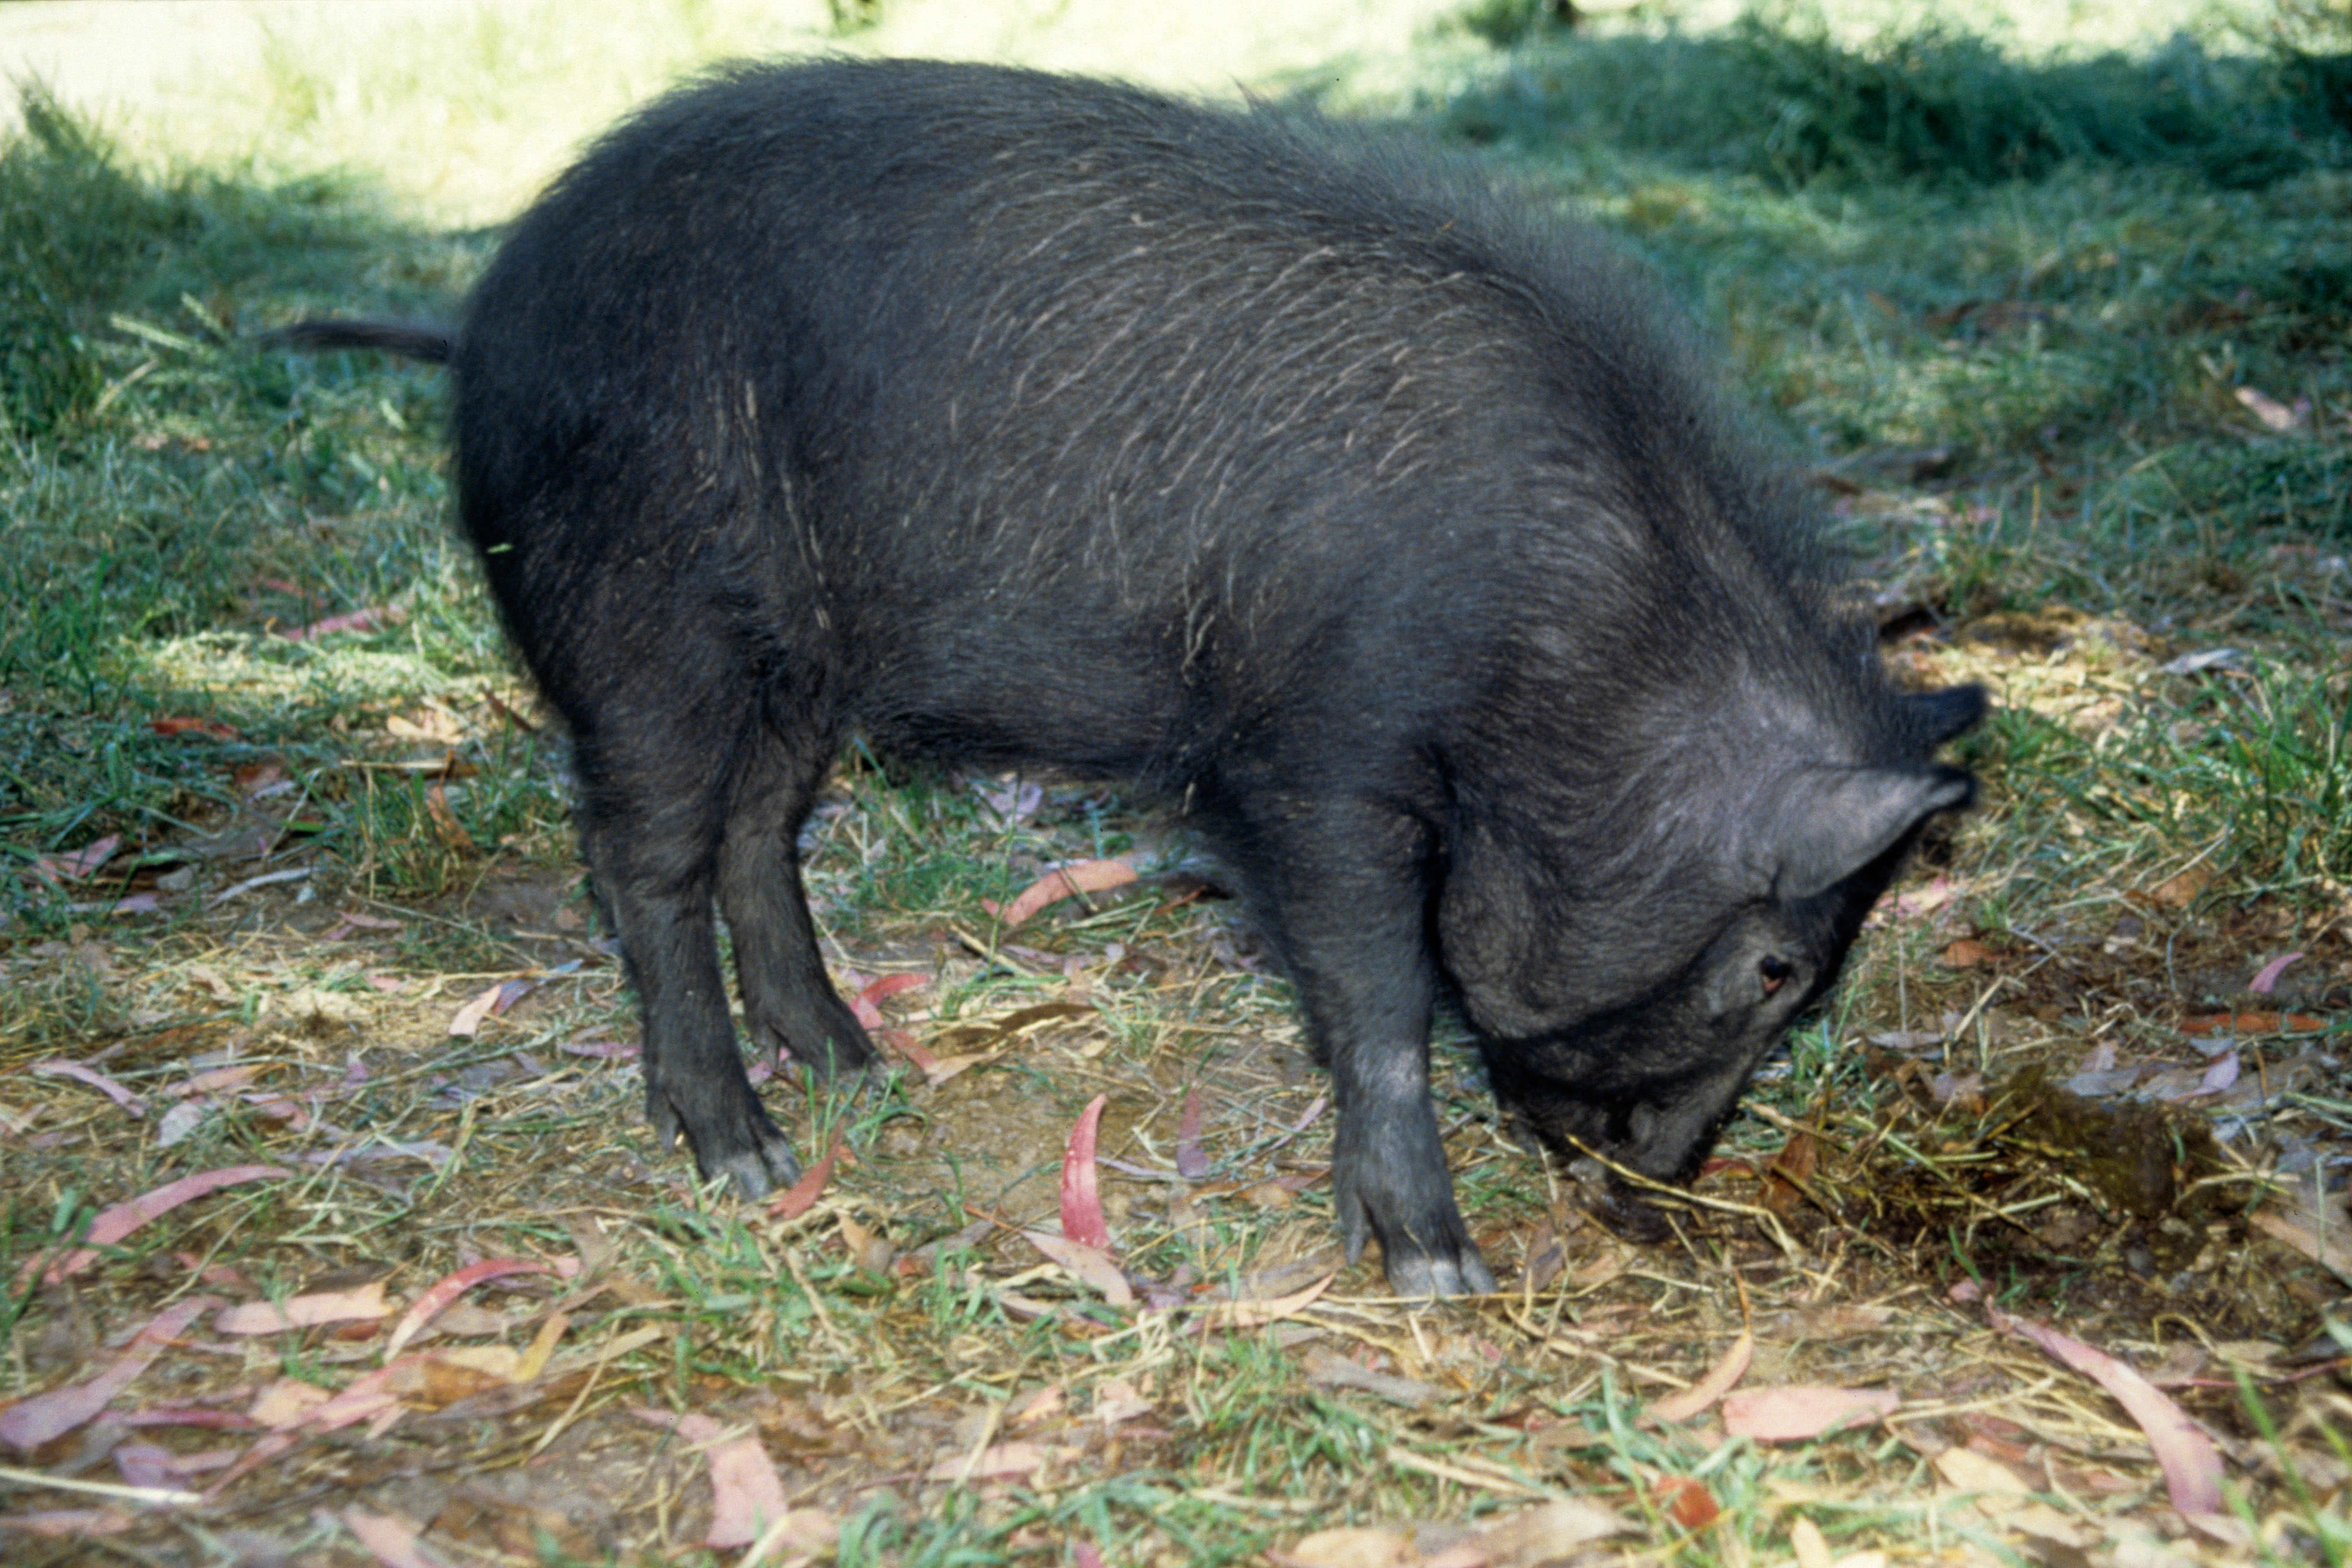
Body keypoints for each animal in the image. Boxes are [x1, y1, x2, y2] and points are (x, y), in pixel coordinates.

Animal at [289, 55, 1985, 1298]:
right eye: (1776, 970)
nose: (1656, 1196)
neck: (1572, 650)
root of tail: (488, 313)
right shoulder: (1307, 755)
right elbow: (1378, 995)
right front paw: (1437, 1273)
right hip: (643, 612)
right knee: (639, 851)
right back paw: (747, 1157)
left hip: (801, 665)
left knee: (757, 830)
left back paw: (863, 1073)